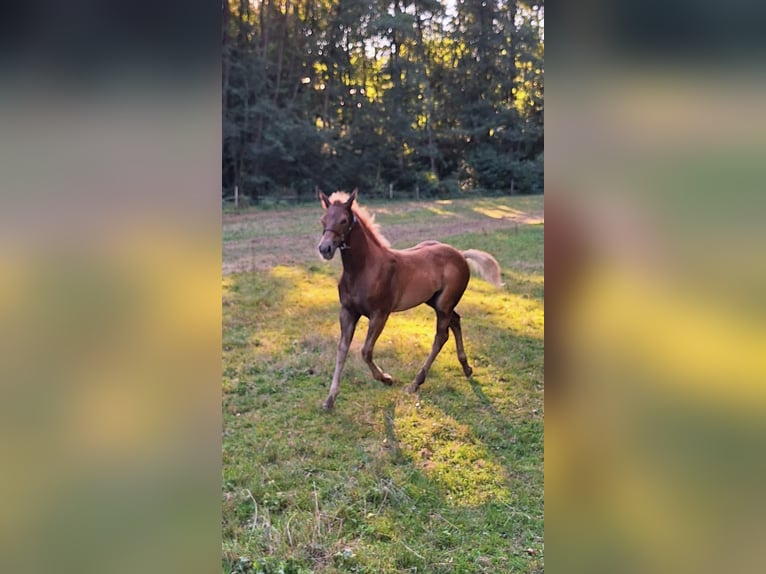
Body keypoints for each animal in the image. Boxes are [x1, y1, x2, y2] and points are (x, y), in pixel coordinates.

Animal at [317, 188, 503, 410]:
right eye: (323, 220)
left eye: (344, 220)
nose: (325, 248)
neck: (364, 269)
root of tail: (460, 254)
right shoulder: (347, 312)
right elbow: (342, 349)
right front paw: (330, 399)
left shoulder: (380, 314)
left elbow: (365, 351)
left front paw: (386, 379)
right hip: (435, 301)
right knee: (456, 321)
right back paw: (466, 368)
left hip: (444, 305)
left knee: (441, 336)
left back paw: (415, 383)